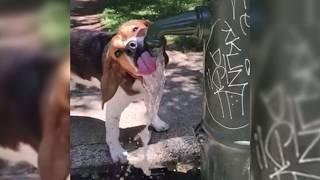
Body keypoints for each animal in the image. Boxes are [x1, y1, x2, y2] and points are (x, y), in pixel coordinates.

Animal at [70, 19, 170, 162]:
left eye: (135, 29)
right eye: (118, 53)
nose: (131, 47)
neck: (137, 77)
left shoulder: (151, 91)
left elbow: (153, 110)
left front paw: (157, 123)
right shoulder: (113, 107)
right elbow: (113, 132)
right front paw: (117, 152)